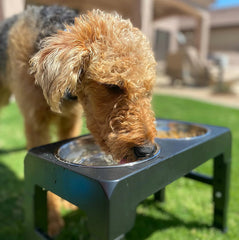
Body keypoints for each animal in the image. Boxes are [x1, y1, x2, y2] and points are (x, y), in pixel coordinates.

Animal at [0, 4, 158, 235]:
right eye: (113, 85)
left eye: (148, 89)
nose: (146, 150)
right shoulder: (36, 123)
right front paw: (53, 221)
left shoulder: (70, 121)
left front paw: (66, 204)